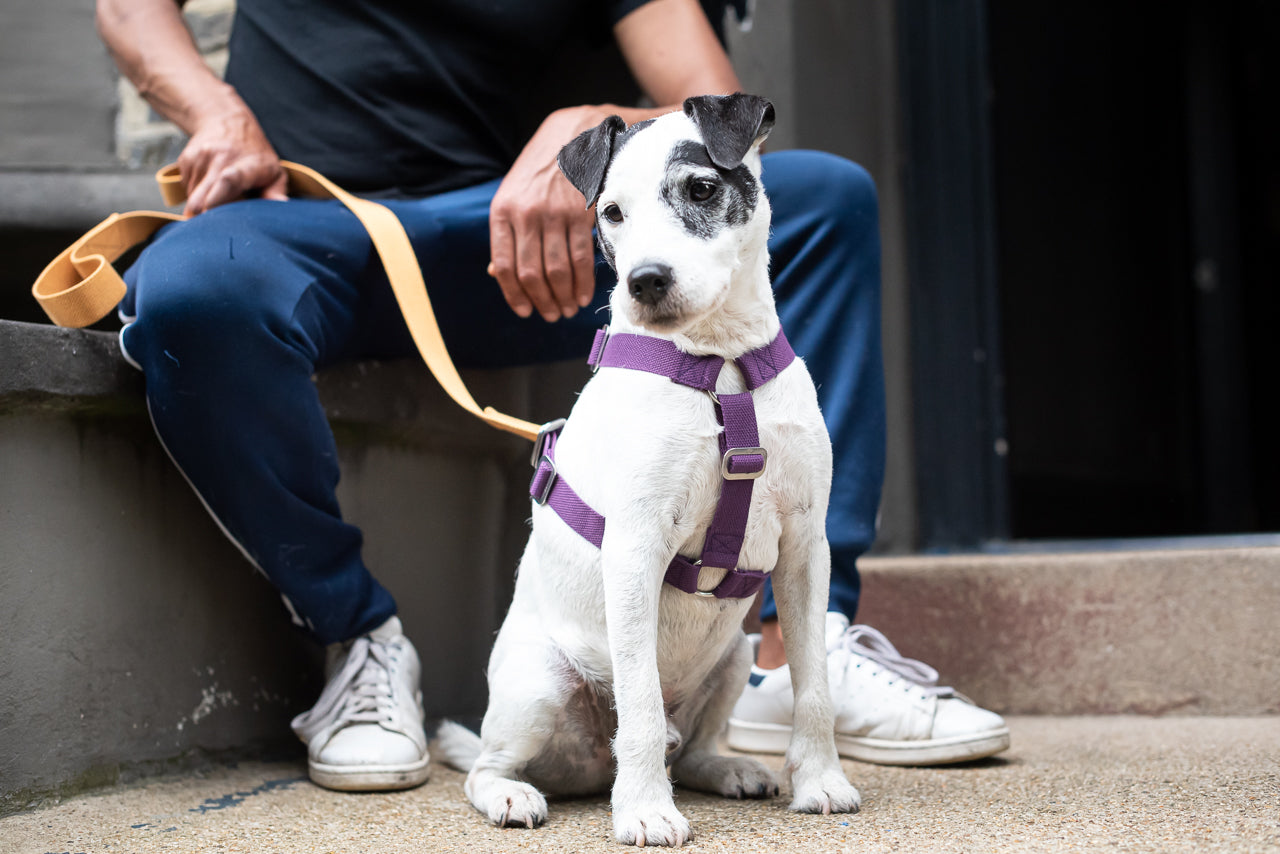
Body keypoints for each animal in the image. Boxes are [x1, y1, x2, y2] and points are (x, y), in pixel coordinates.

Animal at [440, 95, 860, 850]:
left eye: (701, 188)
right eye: (611, 213)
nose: (645, 281)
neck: (721, 366)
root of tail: (578, 773)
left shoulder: (806, 547)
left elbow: (813, 685)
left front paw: (819, 781)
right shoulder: (635, 549)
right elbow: (638, 698)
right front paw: (642, 811)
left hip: (735, 656)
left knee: (687, 748)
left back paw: (726, 768)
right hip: (540, 685)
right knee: (489, 766)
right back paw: (515, 794)